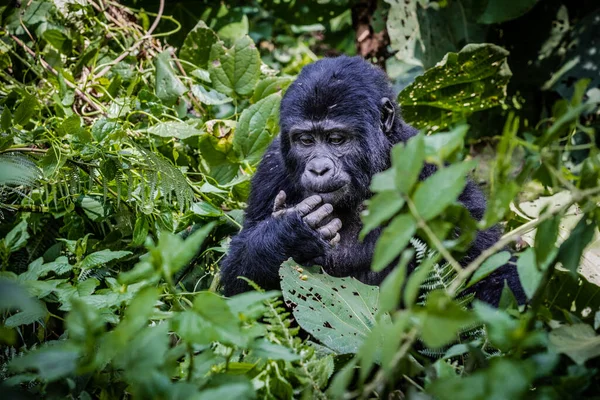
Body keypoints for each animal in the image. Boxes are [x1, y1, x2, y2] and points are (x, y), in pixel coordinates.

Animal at [220, 56, 524, 304]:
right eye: (305, 140)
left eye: (336, 139)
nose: (318, 169)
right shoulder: (271, 169)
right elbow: (237, 283)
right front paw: (289, 235)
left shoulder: (438, 177)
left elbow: (488, 270)